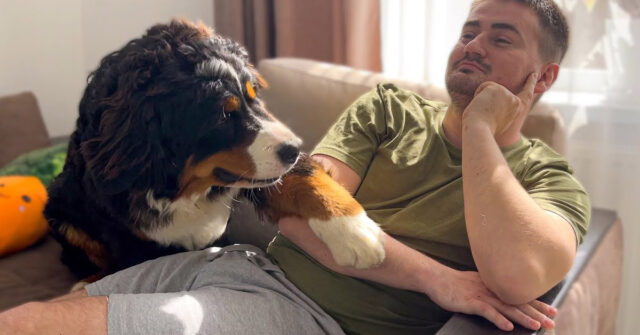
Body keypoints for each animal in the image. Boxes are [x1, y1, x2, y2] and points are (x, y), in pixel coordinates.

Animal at [45, 17, 384, 282]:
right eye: (222, 116)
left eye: (254, 95)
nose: (294, 148)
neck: (180, 189)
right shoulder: (129, 239)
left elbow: (302, 179)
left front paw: (355, 232)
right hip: (61, 208)